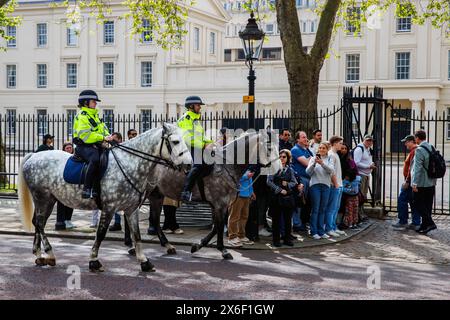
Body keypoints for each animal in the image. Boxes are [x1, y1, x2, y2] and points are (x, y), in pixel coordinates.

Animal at [18, 124, 192, 272]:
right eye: (175, 141)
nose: (189, 165)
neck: (129, 163)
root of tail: (33, 156)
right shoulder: (109, 208)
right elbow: (100, 234)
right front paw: (94, 261)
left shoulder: (131, 209)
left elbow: (136, 234)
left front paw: (144, 261)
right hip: (42, 197)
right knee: (39, 223)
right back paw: (50, 254)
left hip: (49, 200)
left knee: (38, 223)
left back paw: (39, 255)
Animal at [147, 131, 282, 258]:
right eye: (269, 148)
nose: (280, 170)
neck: (227, 165)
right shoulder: (220, 204)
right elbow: (220, 226)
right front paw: (223, 250)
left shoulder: (218, 205)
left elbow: (216, 227)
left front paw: (198, 245)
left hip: (156, 195)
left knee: (155, 219)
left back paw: (167, 245)